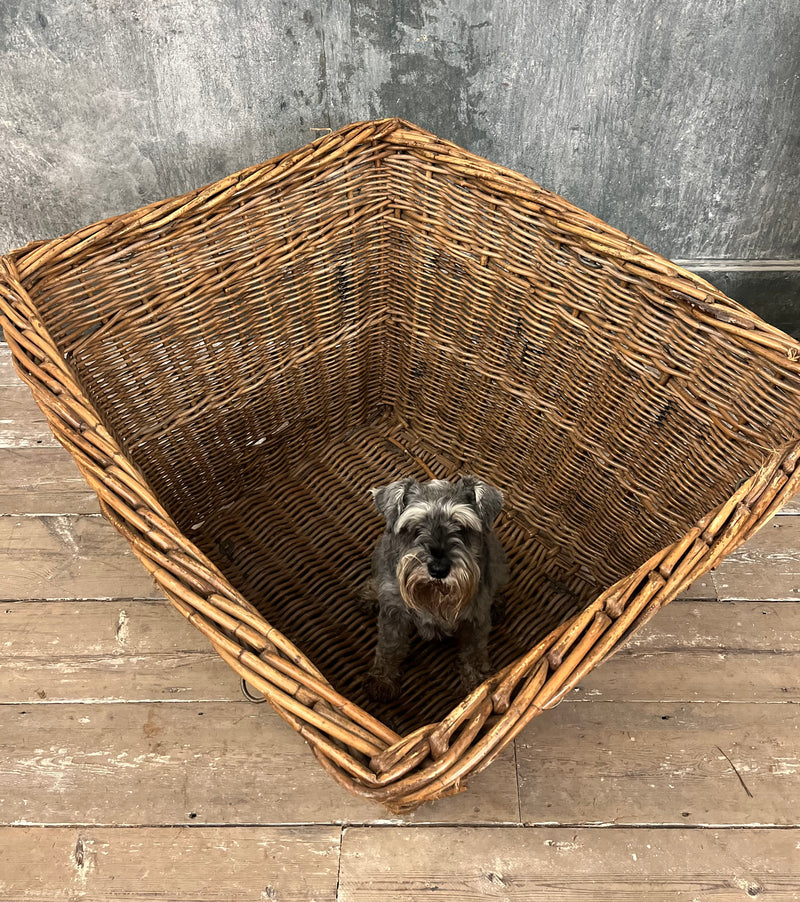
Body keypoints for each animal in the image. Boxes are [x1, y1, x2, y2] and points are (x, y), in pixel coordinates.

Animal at [364, 476, 506, 704]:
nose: (438, 569)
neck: (435, 594)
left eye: (462, 528)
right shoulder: (394, 614)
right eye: (414, 527)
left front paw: (477, 684)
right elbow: (390, 646)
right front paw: (382, 680)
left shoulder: (476, 619)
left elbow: (474, 652)